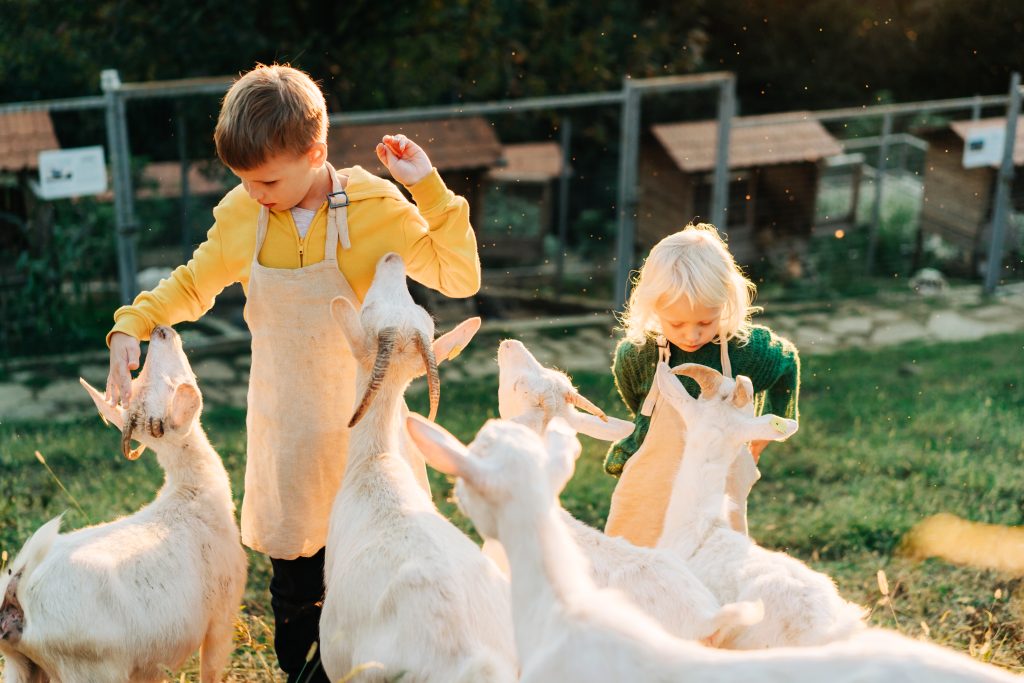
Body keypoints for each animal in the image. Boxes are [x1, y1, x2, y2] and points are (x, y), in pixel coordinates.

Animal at [0, 325, 245, 683]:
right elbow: (211, 669)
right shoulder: (223, 611)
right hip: (89, 666)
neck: (191, 493)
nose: (162, 330)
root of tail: (15, 592)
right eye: (171, 383)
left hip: (22, 665)